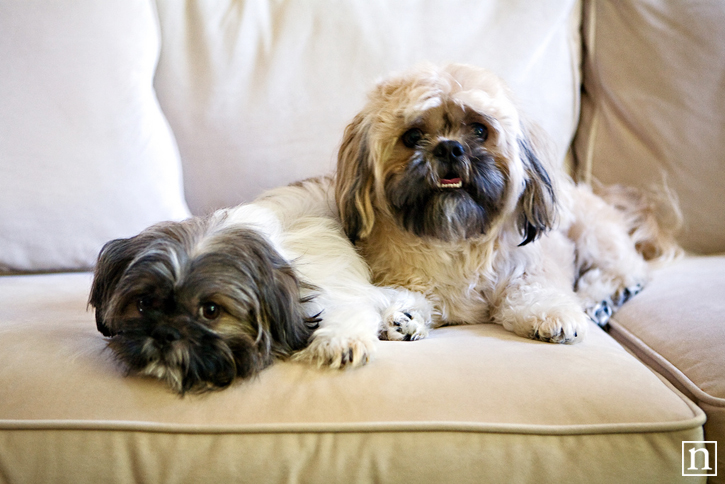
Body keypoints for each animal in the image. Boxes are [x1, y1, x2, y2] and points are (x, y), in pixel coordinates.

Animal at [90, 178, 430, 394]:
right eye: (143, 304)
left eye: (210, 310)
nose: (164, 333)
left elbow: (353, 311)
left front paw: (341, 342)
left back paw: (403, 322)